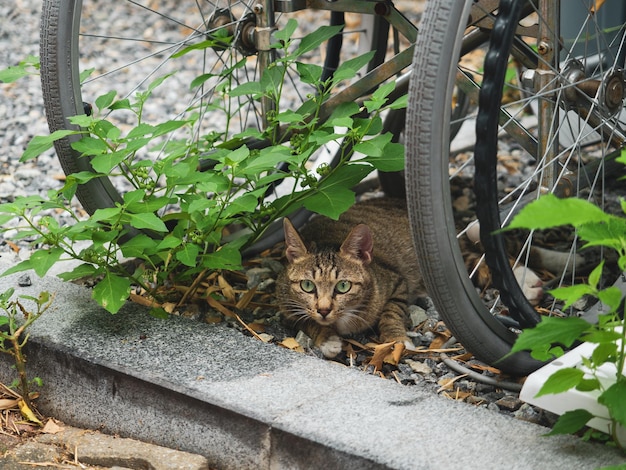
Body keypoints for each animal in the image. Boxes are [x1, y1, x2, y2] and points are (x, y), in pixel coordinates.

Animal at [274, 197, 424, 356]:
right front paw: (328, 338)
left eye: (343, 286)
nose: (323, 310)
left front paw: (397, 339)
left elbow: (392, 312)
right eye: (307, 285)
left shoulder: (397, 283)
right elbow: (309, 322)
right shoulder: (287, 311)